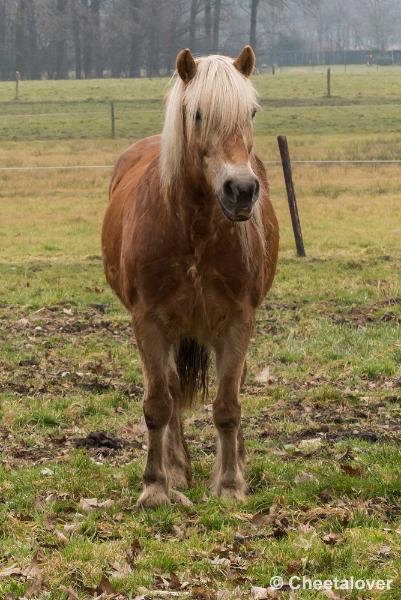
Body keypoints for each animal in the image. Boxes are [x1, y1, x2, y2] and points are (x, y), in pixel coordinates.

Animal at [101, 45, 278, 506]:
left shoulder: (237, 322)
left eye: (251, 112)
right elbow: (158, 405)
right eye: (197, 114)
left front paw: (231, 485)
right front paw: (155, 486)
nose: (241, 190)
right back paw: (178, 469)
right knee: (171, 392)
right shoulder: (150, 323)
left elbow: (227, 405)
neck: (193, 229)